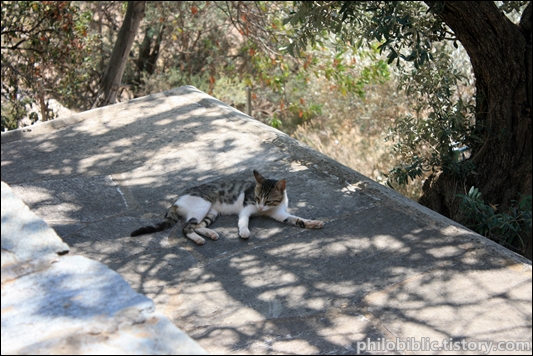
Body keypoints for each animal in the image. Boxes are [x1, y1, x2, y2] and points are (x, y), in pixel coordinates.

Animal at [131, 170, 324, 245]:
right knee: (186, 228)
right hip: (203, 205)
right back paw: (199, 239)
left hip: (211, 213)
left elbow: (297, 219)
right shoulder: (246, 208)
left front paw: (313, 223)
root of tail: (176, 201)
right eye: (257, 198)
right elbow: (243, 221)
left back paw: (210, 233)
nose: (261, 208)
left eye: (268, 201)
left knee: (197, 226)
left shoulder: (280, 214)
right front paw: (244, 231)